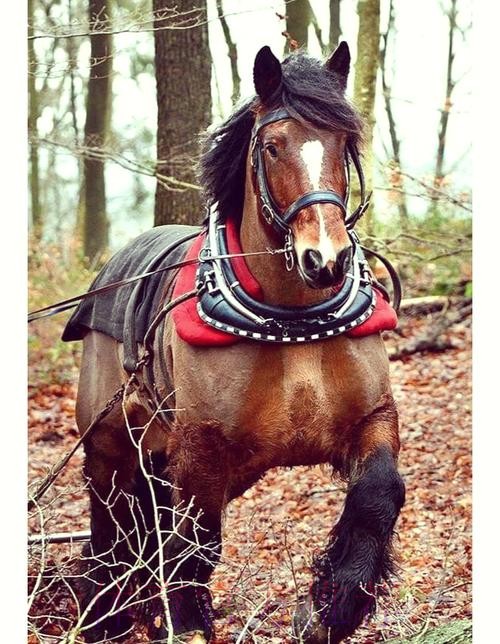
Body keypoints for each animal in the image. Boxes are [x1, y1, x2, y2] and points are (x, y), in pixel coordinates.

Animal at [66, 43, 405, 643]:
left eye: (344, 143)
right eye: (272, 147)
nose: (327, 259)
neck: (292, 320)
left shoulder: (372, 419)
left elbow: (378, 497)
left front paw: (332, 605)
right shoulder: (203, 448)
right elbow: (195, 541)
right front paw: (186, 620)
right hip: (109, 446)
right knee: (112, 531)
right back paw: (106, 616)